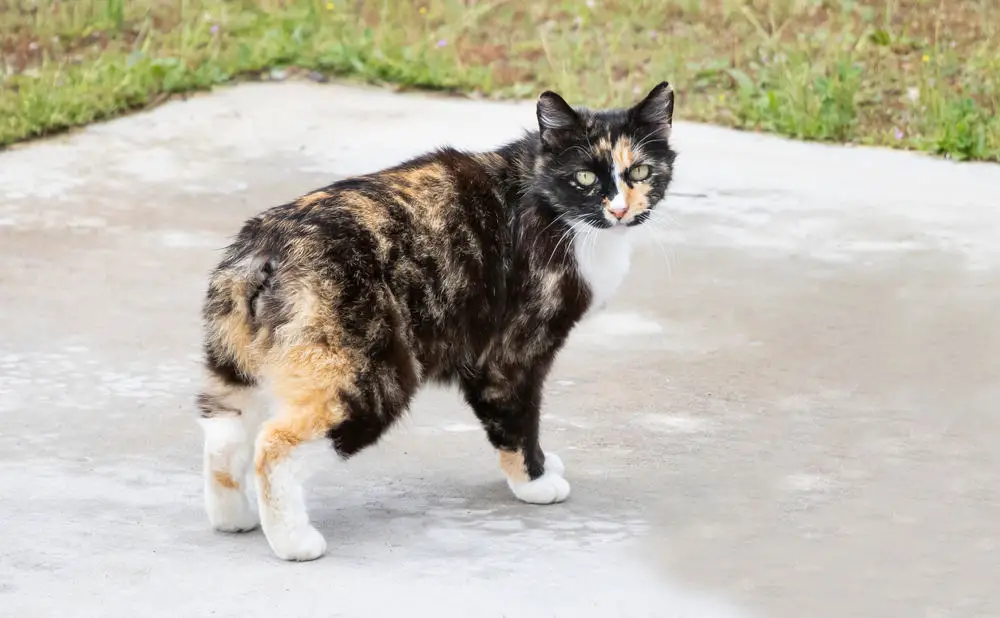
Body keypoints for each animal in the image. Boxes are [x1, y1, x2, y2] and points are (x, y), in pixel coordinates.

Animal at [195, 80, 680, 560]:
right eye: (584, 176)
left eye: (640, 172)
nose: (619, 210)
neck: (547, 199)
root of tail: (265, 248)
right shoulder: (511, 353)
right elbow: (518, 421)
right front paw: (535, 481)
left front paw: (542, 467)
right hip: (373, 377)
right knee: (274, 447)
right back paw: (294, 543)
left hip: (235, 368)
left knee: (224, 437)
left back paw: (234, 519)